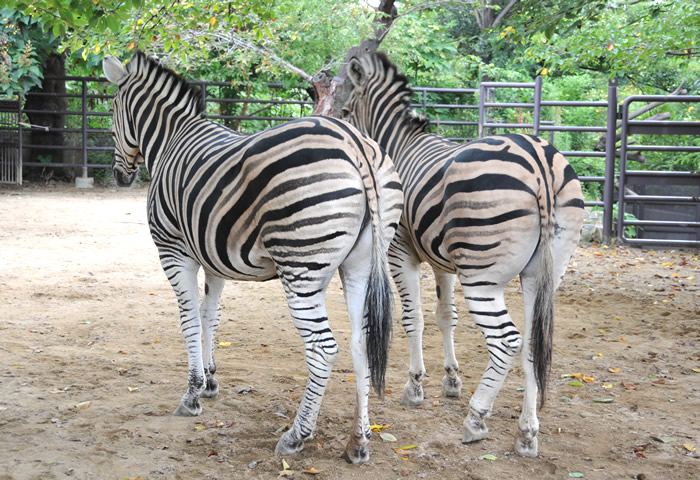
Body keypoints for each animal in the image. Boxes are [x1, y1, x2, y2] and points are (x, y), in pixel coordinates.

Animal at [101, 50, 402, 464]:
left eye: (112, 109)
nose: (119, 176)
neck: (173, 138)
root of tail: (355, 143)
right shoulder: (213, 257)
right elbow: (210, 317)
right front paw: (211, 381)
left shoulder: (174, 251)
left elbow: (189, 320)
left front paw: (192, 394)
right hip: (360, 266)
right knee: (361, 344)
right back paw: (358, 441)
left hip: (301, 269)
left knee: (323, 349)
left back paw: (296, 435)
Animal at [340, 52, 584, 458]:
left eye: (345, 110)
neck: (401, 143)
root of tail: (539, 161)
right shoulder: (445, 262)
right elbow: (445, 317)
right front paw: (451, 380)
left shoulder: (400, 252)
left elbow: (414, 318)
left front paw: (415, 385)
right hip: (543, 274)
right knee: (533, 343)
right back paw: (527, 433)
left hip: (482, 276)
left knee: (506, 341)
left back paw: (476, 418)